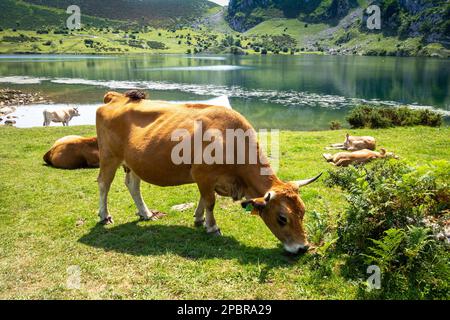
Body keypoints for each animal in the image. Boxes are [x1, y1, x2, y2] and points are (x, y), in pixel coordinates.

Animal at [96, 90, 322, 255]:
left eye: (303, 212)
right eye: (282, 218)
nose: (302, 247)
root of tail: (116, 97)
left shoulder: (207, 178)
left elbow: (204, 199)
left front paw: (199, 219)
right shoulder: (203, 175)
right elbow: (210, 201)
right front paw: (212, 227)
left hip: (135, 162)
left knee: (133, 185)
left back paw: (146, 213)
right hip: (109, 157)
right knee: (103, 184)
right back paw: (105, 215)